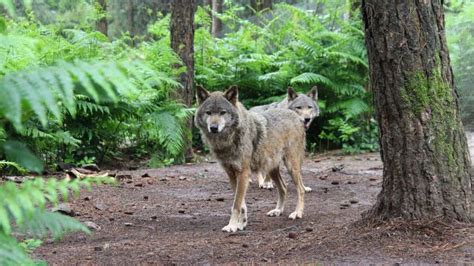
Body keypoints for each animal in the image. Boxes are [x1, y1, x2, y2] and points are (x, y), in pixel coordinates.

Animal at [193, 85, 308, 233]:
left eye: (223, 112)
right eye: (208, 112)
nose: (213, 128)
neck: (228, 140)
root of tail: (295, 115)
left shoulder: (243, 173)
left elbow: (236, 204)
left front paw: (231, 226)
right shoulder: (231, 174)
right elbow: (241, 204)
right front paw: (241, 224)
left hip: (291, 166)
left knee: (301, 189)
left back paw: (297, 213)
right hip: (271, 169)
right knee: (284, 187)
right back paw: (278, 211)